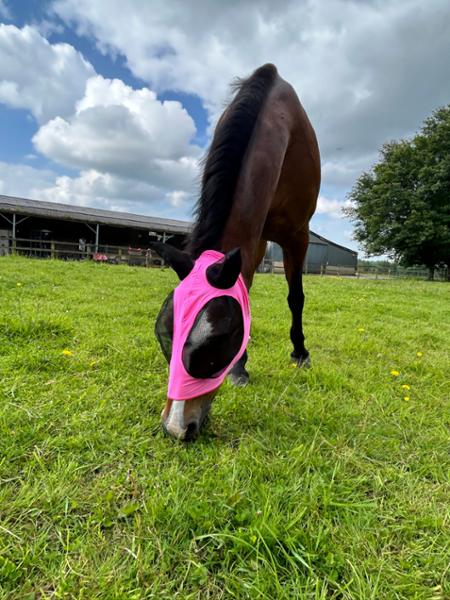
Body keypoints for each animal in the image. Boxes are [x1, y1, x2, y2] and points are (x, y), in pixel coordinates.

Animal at [151, 63, 320, 440]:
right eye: (164, 335)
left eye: (219, 341)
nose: (176, 427)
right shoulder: (252, 240)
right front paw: (240, 368)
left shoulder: (297, 235)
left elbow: (296, 297)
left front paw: (300, 352)